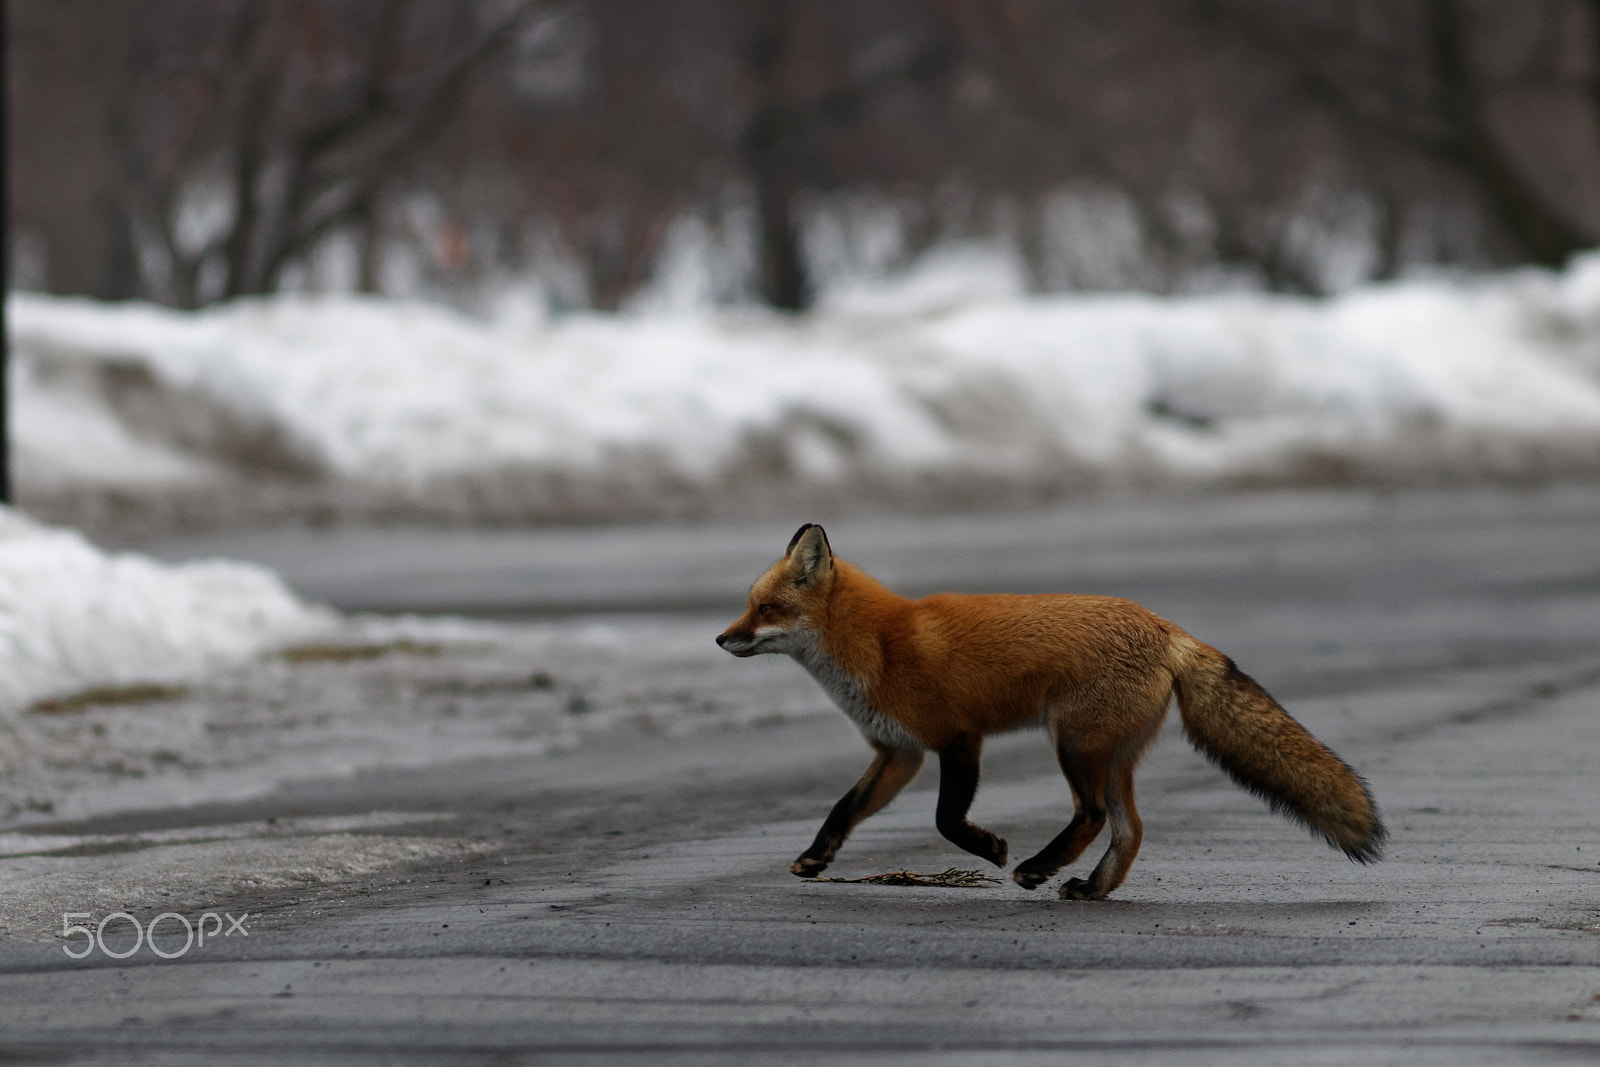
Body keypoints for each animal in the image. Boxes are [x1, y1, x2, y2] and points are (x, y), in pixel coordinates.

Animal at [720, 524, 1382, 902]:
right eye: (748, 606)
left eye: (765, 608)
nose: (722, 639)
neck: (878, 645)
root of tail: (1164, 626)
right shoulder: (899, 752)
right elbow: (844, 808)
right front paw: (815, 859)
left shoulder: (958, 739)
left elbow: (945, 819)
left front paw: (991, 849)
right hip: (1109, 755)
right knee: (1130, 829)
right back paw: (1090, 888)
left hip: (1074, 745)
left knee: (1092, 816)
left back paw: (1037, 869)